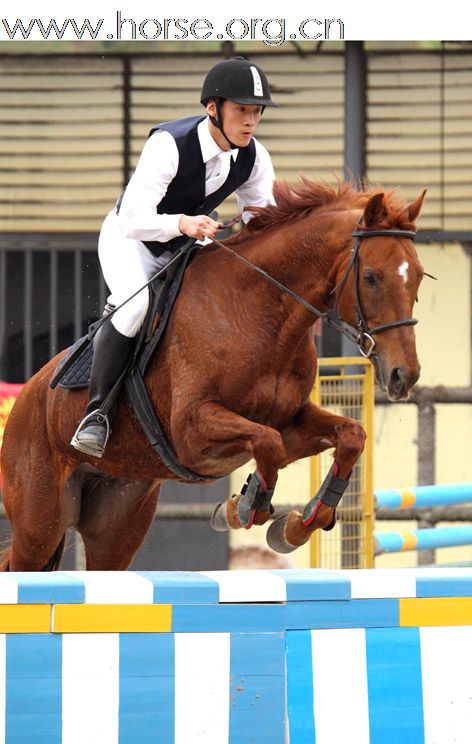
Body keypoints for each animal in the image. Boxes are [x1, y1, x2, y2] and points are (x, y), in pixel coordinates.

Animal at [0, 179, 424, 568]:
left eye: (419, 275)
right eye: (370, 277)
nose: (404, 375)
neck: (259, 313)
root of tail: (25, 398)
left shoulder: (290, 421)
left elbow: (348, 436)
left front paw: (292, 525)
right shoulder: (192, 430)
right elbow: (268, 443)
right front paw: (245, 507)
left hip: (118, 520)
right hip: (40, 524)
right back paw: (92, 430)